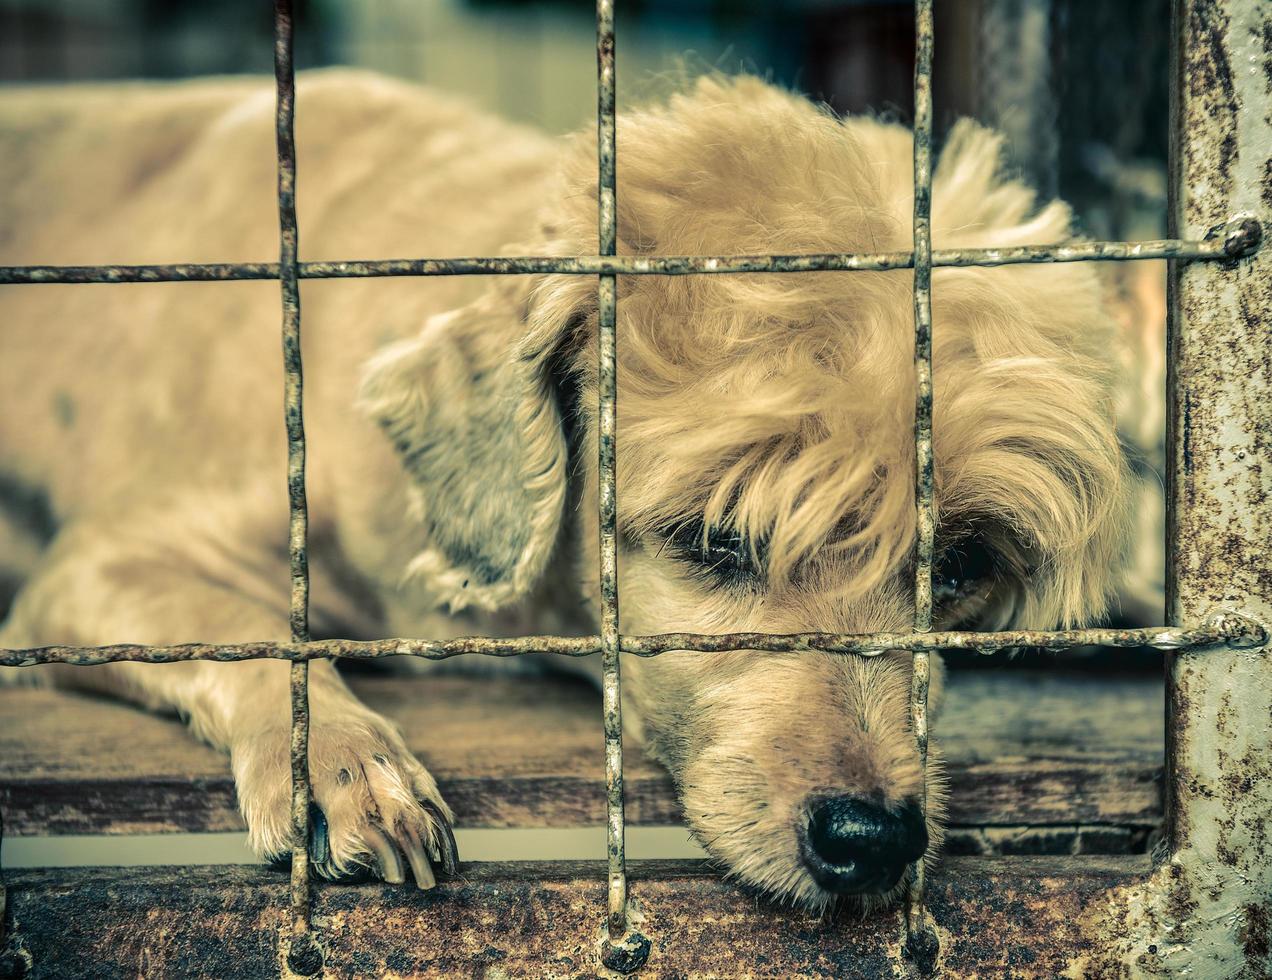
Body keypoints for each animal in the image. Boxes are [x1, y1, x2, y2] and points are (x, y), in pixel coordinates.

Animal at [0, 70, 1134, 906]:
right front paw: (344, 765)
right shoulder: (98, 568)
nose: (875, 837)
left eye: (958, 567)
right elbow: (262, 634)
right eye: (715, 538)